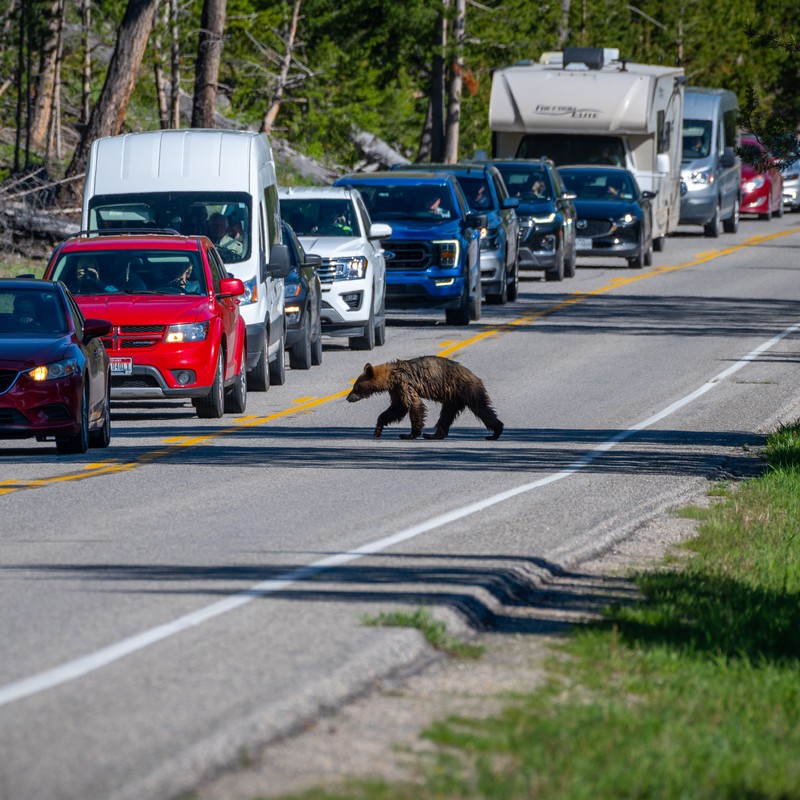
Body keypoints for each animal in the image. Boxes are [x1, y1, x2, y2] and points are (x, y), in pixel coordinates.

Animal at [346, 358, 504, 444]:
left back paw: (495, 432)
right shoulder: (396, 389)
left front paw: (409, 434)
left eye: (355, 387)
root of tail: (474, 376)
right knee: (447, 415)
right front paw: (378, 429)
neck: (391, 376)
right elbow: (397, 407)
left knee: (482, 409)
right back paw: (434, 435)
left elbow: (412, 404)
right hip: (453, 398)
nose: (348, 398)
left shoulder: (404, 383)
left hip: (466, 389)